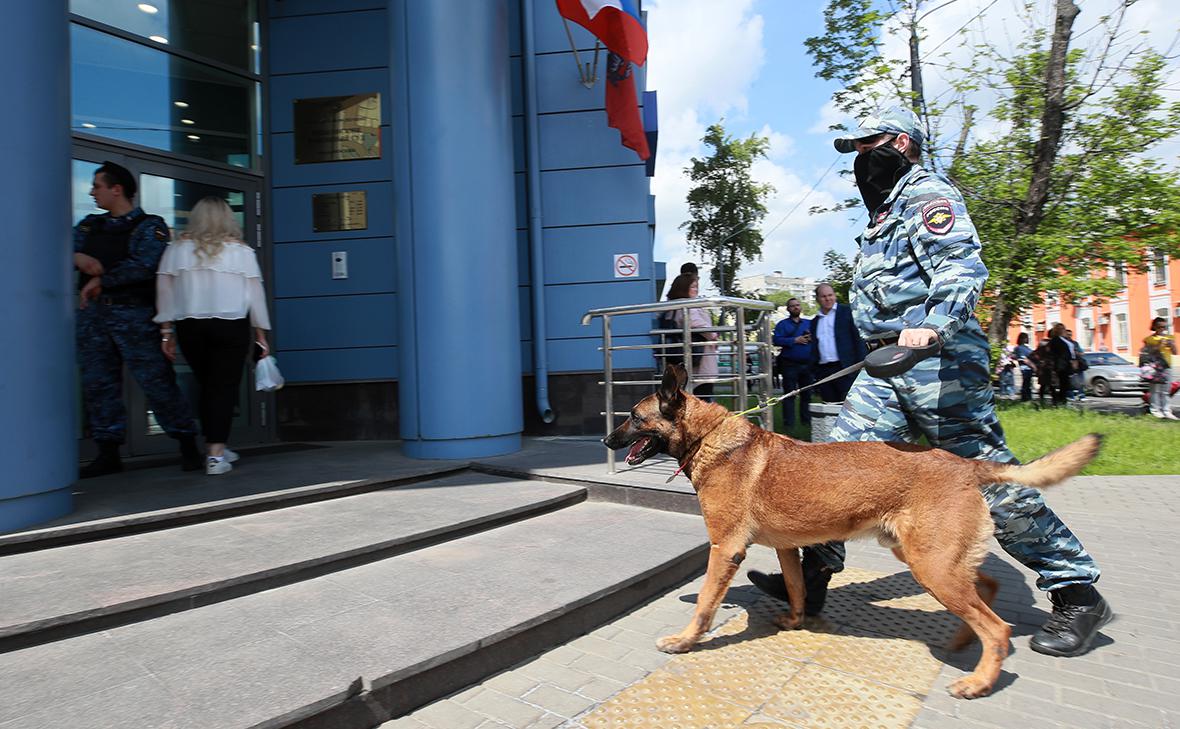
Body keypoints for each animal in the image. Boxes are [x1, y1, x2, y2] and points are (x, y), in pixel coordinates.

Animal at [604, 365, 1099, 693]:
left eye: (633, 415)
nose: (606, 441)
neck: (710, 439)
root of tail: (966, 465)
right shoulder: (785, 548)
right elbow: (797, 586)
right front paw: (795, 619)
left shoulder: (725, 548)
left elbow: (706, 602)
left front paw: (686, 640)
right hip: (930, 559)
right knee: (988, 591)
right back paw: (962, 642)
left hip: (931, 566)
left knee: (996, 629)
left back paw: (977, 681)